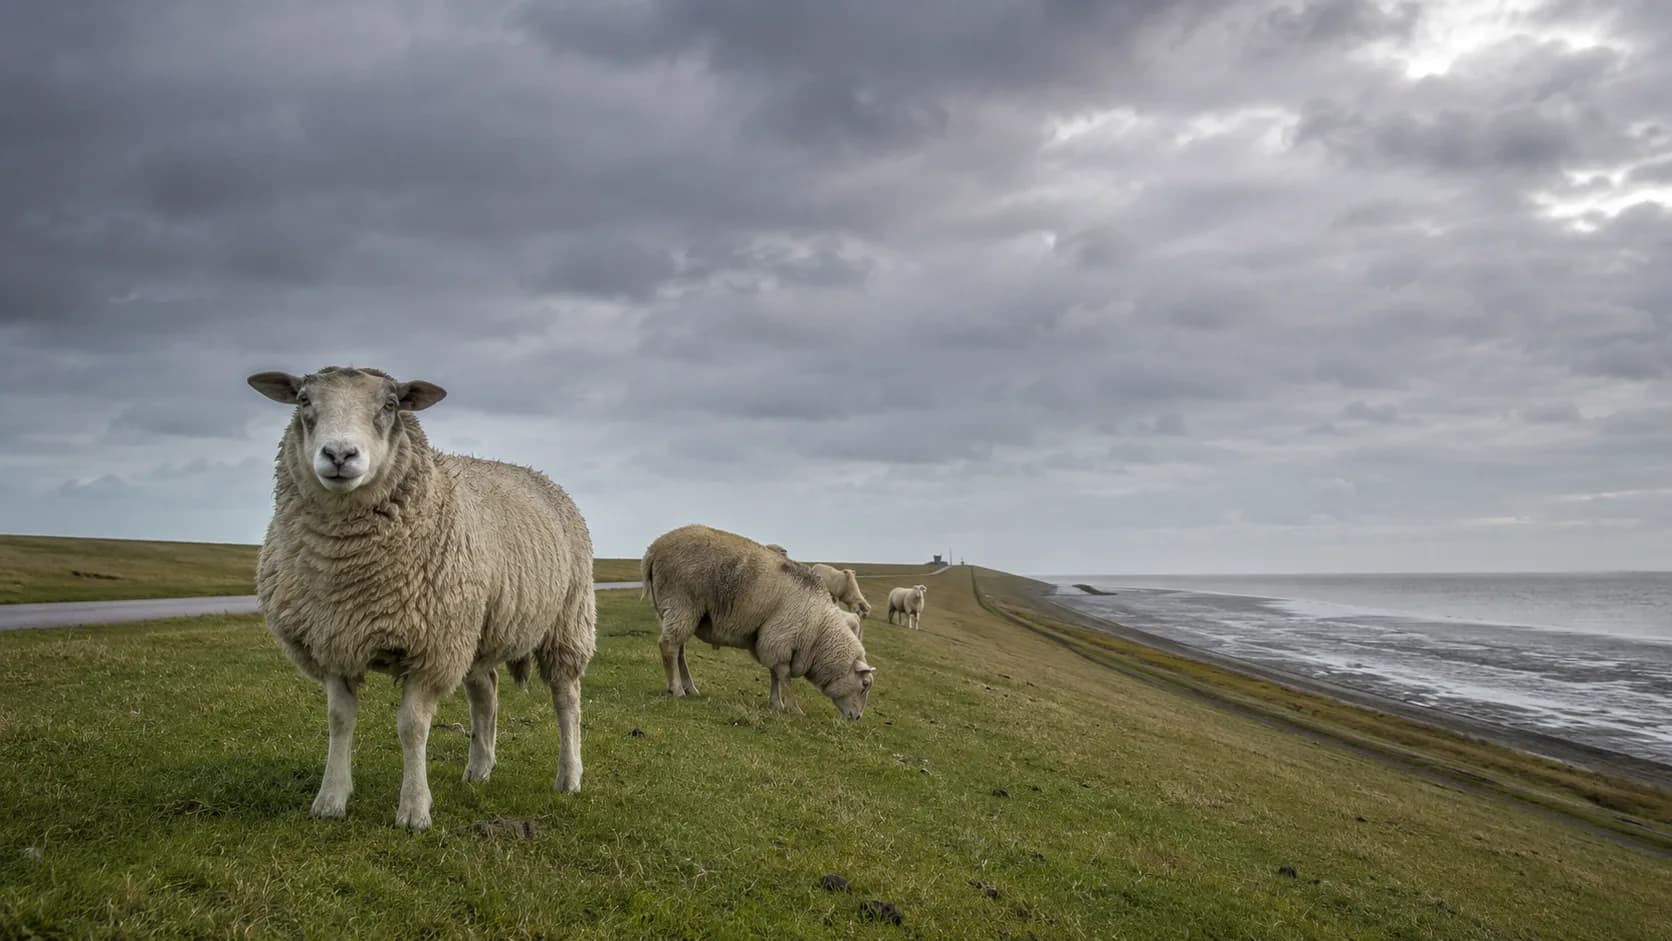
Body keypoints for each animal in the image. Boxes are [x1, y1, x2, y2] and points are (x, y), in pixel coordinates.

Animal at [247, 366, 596, 831]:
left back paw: (569, 776)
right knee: (485, 692)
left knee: (566, 699)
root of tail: (535, 472)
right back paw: (479, 769)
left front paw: (413, 810)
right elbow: (339, 721)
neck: (346, 571)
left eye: (390, 404)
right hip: (473, 627)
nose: (339, 454)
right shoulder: (333, 641)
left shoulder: (431, 649)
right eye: (303, 400)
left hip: (566, 621)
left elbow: (412, 727)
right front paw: (331, 800)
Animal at [641, 524, 876, 718]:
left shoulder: (774, 642)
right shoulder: (780, 638)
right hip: (681, 603)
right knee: (668, 646)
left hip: (675, 611)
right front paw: (793, 708)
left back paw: (689, 688)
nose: (857, 718)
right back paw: (677, 689)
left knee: (679, 650)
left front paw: (776, 703)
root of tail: (653, 549)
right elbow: (784, 676)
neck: (819, 632)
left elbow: (774, 674)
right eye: (864, 684)